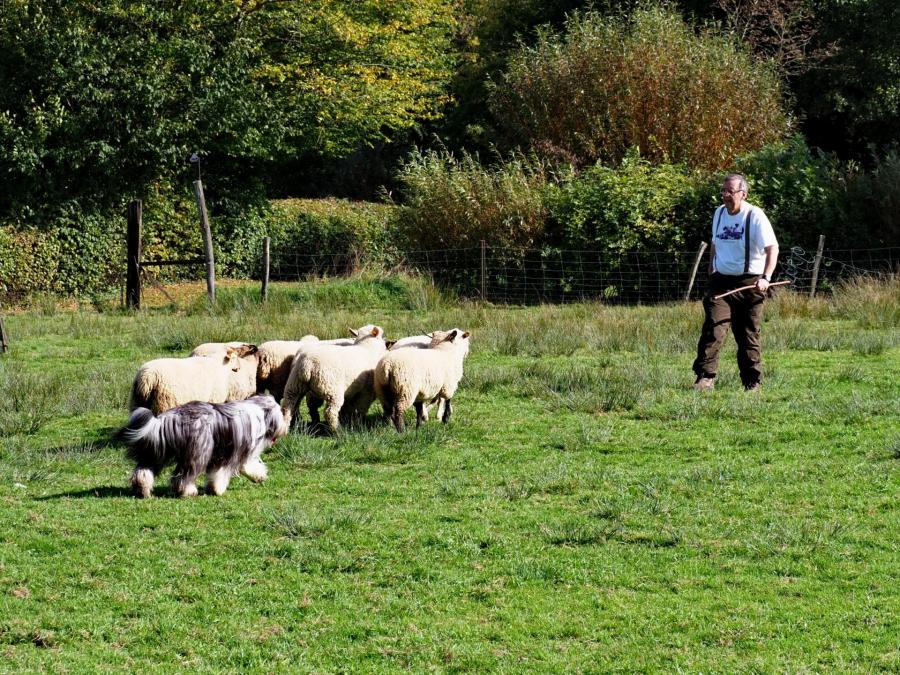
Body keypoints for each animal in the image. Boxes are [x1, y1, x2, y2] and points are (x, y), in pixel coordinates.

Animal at [120, 396, 288, 496]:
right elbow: (225, 471)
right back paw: (187, 491)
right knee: (185, 475)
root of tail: (170, 417)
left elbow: (246, 466)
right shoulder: (232, 453)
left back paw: (141, 488)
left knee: (144, 468)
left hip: (159, 449)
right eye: (281, 412)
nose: (285, 428)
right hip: (198, 451)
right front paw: (217, 490)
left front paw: (259, 476)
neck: (260, 414)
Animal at [128, 346, 258, 414]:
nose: (239, 368)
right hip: (164, 402)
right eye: (235, 357)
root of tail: (147, 377)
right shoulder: (214, 398)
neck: (218, 364)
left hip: (137, 401)